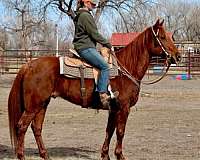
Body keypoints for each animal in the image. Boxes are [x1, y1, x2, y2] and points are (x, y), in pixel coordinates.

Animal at [7, 19, 180, 160]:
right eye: (162, 37)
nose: (178, 56)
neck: (125, 68)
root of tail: (29, 65)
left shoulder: (113, 109)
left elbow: (109, 131)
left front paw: (105, 155)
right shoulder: (123, 108)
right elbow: (120, 132)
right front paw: (120, 156)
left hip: (42, 104)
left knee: (36, 128)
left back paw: (45, 155)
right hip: (33, 106)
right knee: (21, 127)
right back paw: (22, 156)